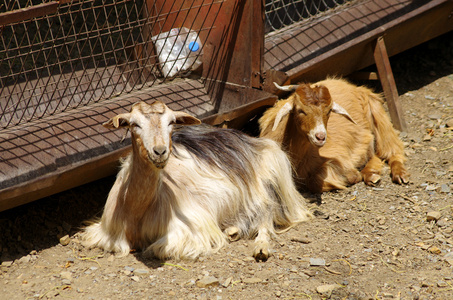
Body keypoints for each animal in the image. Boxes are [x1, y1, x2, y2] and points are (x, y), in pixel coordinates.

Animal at [258, 78, 410, 193]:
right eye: (300, 110)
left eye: (329, 110)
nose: (320, 137)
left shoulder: (339, 158)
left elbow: (316, 181)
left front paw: (351, 177)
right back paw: (372, 174)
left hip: (377, 112)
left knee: (391, 149)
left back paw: (399, 174)